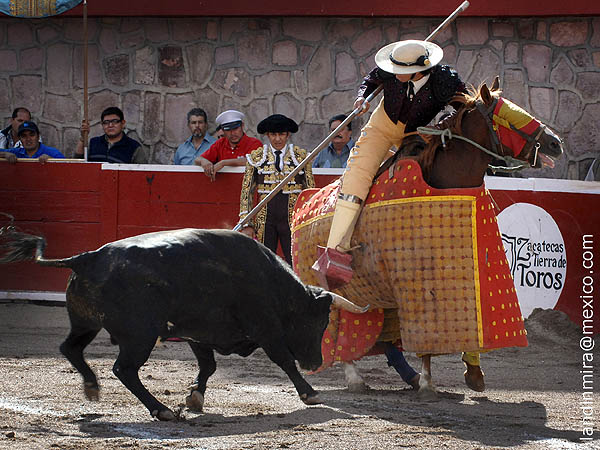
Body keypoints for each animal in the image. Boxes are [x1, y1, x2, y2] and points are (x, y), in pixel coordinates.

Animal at [0, 229, 364, 422]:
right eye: (320, 320)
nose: (316, 362)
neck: (271, 281)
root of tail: (86, 258)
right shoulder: (265, 328)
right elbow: (284, 359)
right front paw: (310, 393)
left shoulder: (200, 333)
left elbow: (208, 366)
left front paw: (195, 398)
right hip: (140, 335)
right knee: (124, 369)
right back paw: (161, 410)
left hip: (85, 323)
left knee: (71, 348)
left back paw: (92, 387)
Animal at [290, 79, 564, 400]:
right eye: (510, 117)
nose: (555, 143)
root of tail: (303, 200)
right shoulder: (421, 288)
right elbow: (428, 339)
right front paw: (427, 383)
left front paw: (473, 373)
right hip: (336, 293)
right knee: (340, 332)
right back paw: (356, 377)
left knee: (383, 337)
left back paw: (404, 376)